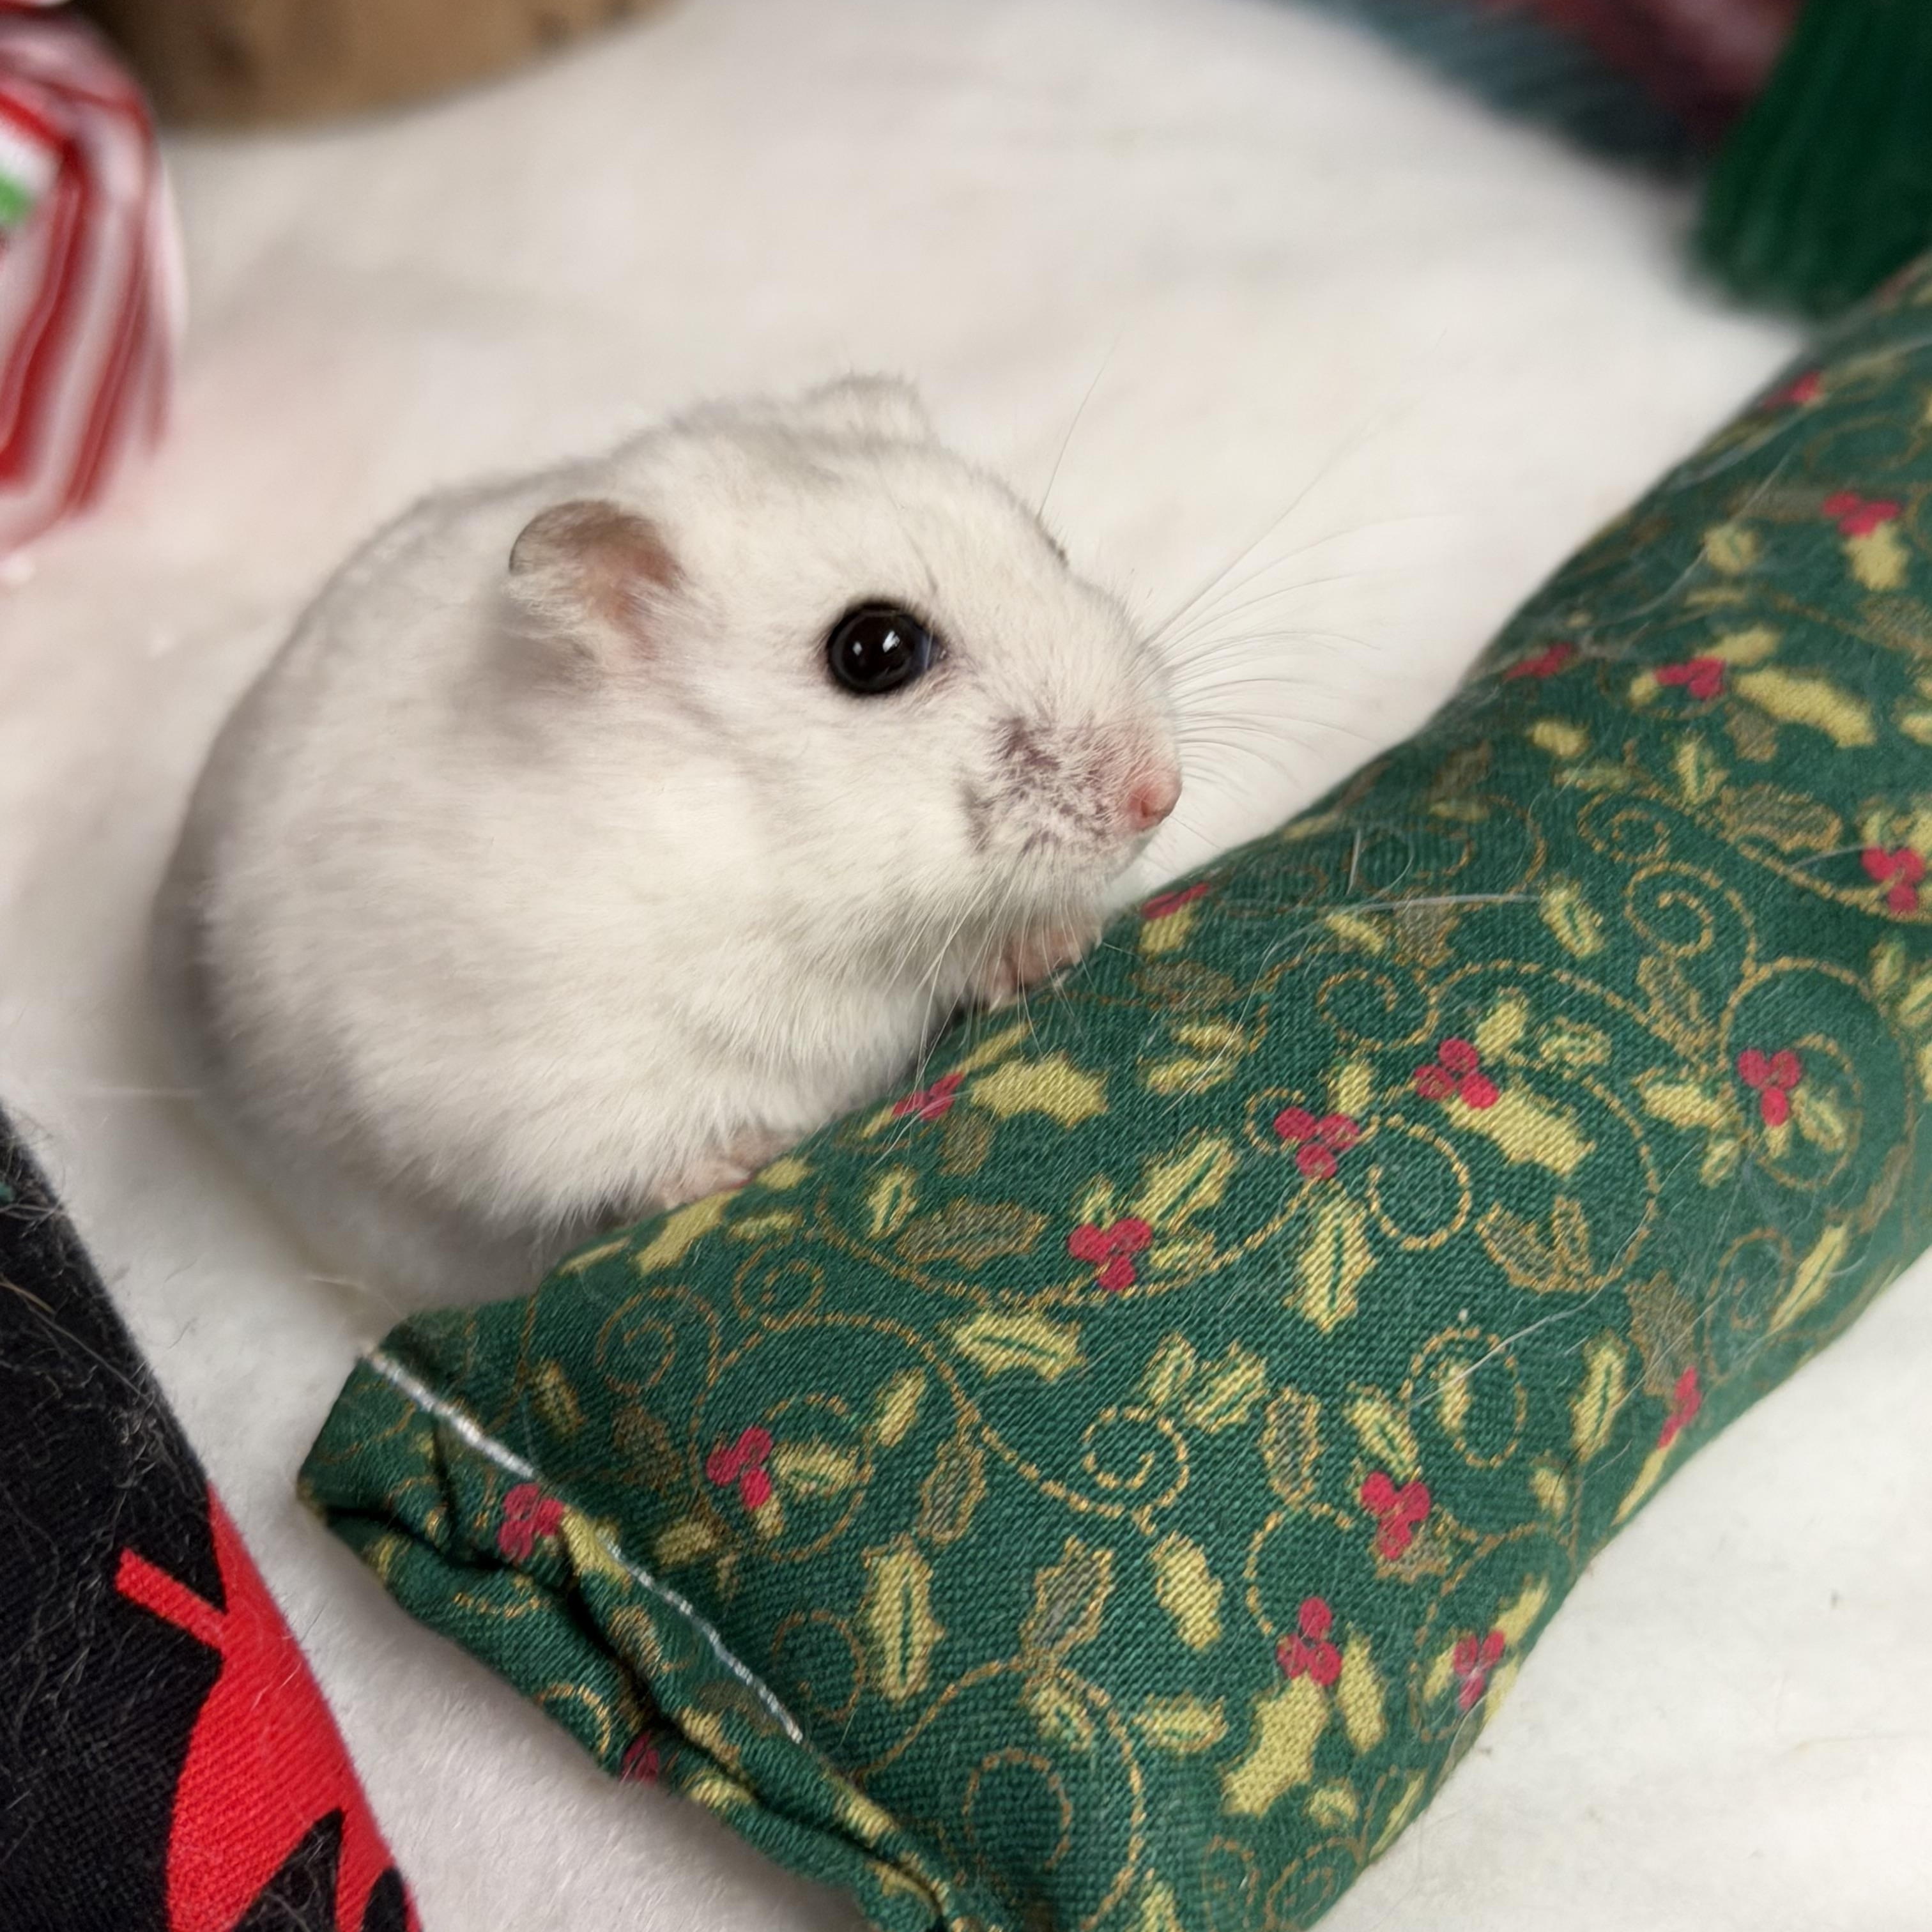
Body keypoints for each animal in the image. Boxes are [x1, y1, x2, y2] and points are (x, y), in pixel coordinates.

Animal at [153, 377, 1181, 1304]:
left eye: (1052, 545)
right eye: (873, 651)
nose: (1160, 794)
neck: (769, 858)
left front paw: (1054, 944)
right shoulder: (527, 1093)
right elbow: (629, 1158)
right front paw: (746, 1160)